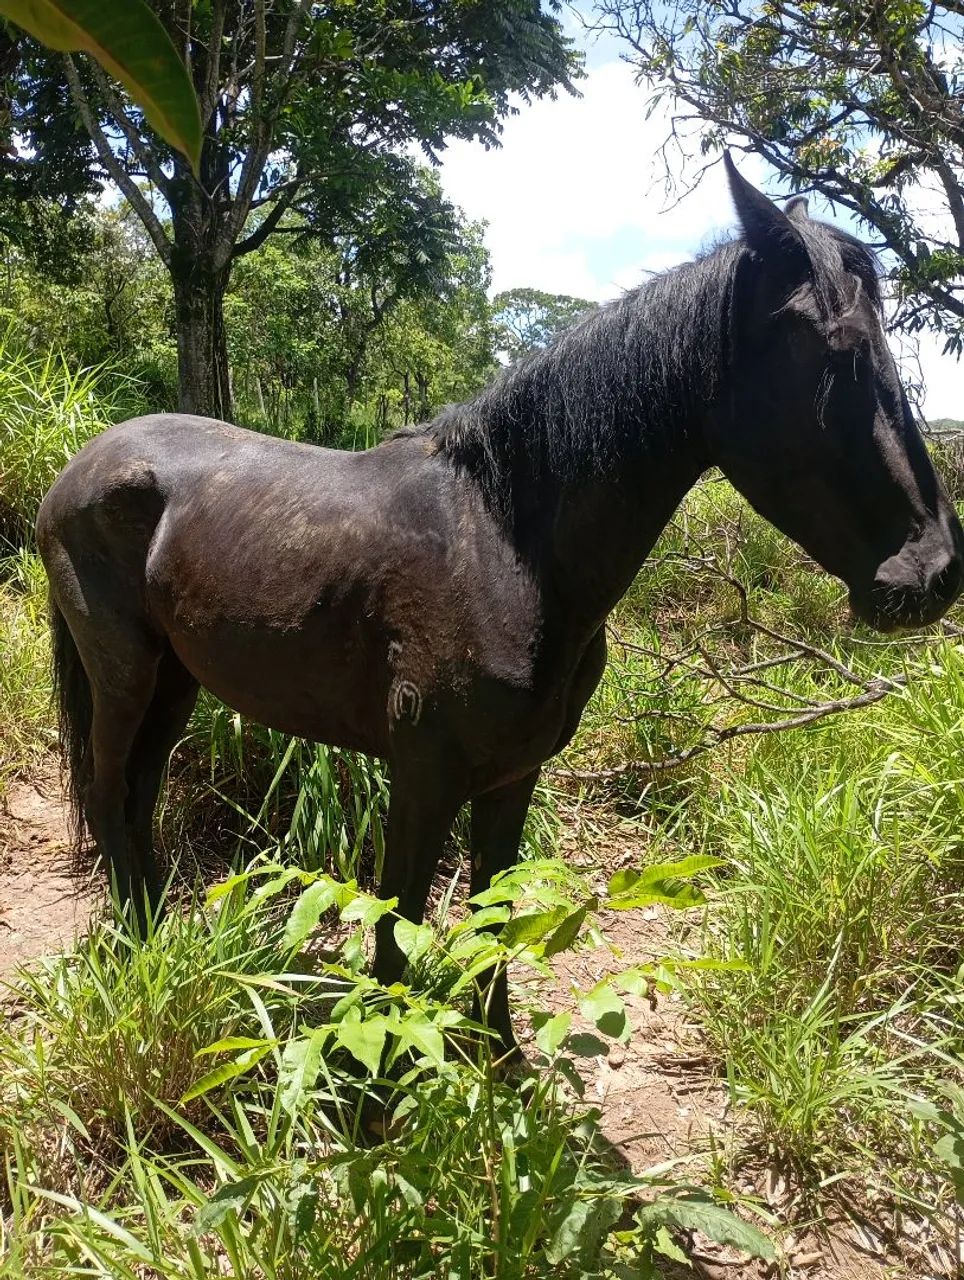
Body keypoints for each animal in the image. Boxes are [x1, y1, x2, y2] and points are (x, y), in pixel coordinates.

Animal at [37, 157, 964, 1059]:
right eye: (839, 352)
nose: (934, 572)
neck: (503, 544)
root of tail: (78, 469)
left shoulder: (515, 774)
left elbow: (492, 918)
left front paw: (502, 1061)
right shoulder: (421, 778)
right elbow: (396, 932)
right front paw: (382, 1080)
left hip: (177, 682)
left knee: (139, 795)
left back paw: (164, 940)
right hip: (125, 675)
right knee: (111, 792)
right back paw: (142, 955)